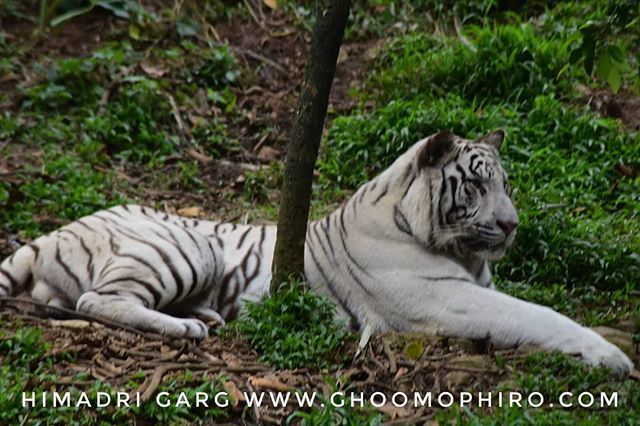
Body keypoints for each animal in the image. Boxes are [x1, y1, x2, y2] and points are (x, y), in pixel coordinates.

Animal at [0, 130, 633, 376]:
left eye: (505, 183)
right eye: (476, 186)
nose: (512, 225)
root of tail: (59, 228)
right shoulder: (446, 301)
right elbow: (541, 316)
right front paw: (614, 359)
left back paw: (204, 316)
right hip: (185, 247)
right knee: (94, 300)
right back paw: (188, 328)